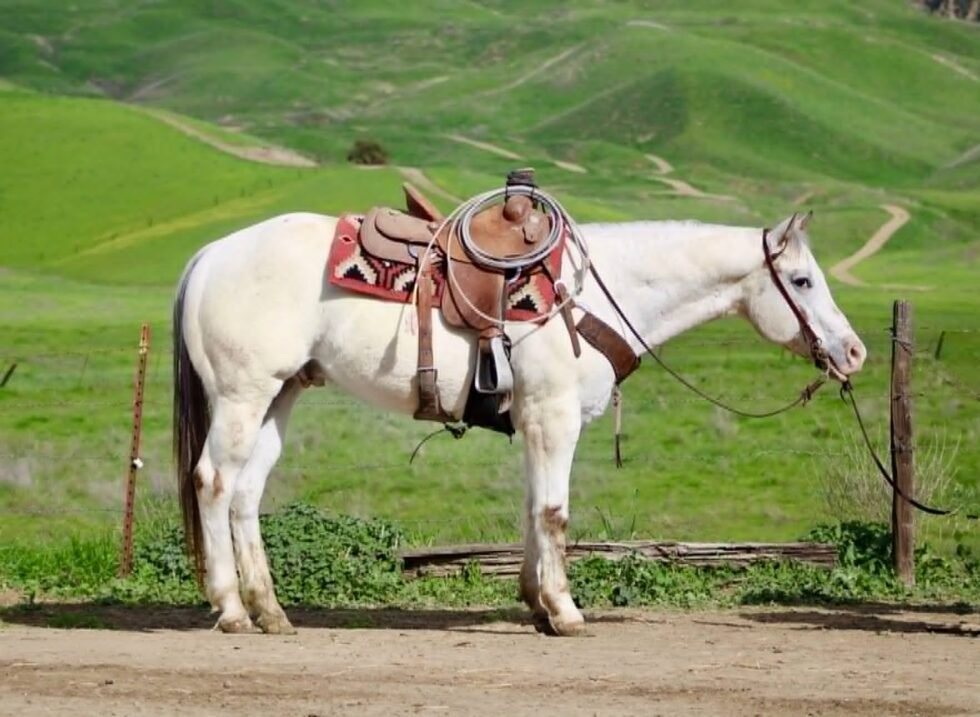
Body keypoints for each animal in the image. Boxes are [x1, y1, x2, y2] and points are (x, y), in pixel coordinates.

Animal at [172, 208, 866, 636]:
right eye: (802, 280)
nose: (854, 352)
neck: (594, 294)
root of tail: (209, 254)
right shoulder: (555, 417)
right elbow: (555, 512)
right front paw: (565, 611)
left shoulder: (536, 421)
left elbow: (534, 510)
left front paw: (537, 604)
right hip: (242, 395)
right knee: (213, 482)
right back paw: (231, 608)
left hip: (280, 395)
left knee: (246, 494)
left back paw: (270, 611)